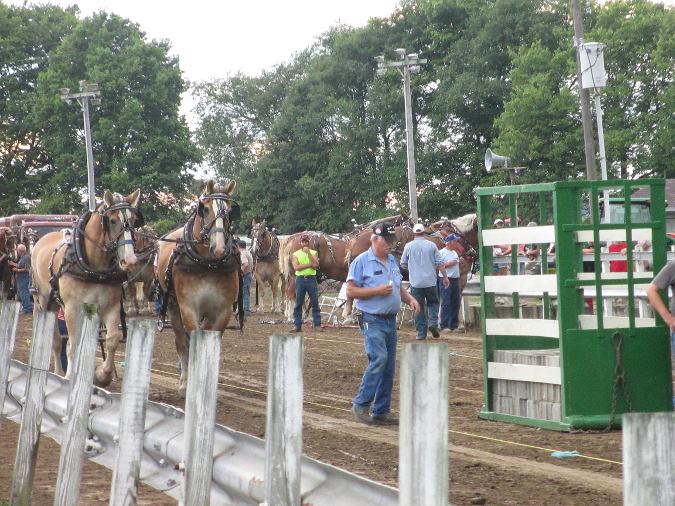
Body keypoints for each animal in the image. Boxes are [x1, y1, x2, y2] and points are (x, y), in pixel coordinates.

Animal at [32, 189, 143, 384]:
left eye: (133, 219)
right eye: (112, 220)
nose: (129, 261)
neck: (95, 268)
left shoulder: (111, 307)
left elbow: (112, 339)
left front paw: (102, 375)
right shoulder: (72, 308)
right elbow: (74, 344)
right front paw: (70, 378)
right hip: (45, 300)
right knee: (55, 340)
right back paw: (58, 373)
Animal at [157, 180, 242, 394]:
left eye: (230, 211)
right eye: (205, 209)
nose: (219, 248)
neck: (208, 264)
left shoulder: (222, 311)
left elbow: (210, 343)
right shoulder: (188, 307)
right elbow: (192, 342)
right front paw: (190, 383)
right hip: (173, 307)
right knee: (181, 342)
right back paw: (184, 380)